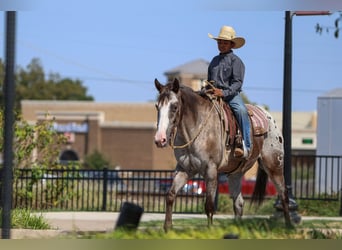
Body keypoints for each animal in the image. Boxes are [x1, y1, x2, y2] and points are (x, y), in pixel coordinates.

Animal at [155, 78, 292, 232]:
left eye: (174, 106)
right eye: (157, 106)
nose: (160, 139)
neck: (197, 127)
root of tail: (270, 119)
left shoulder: (211, 170)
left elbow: (209, 205)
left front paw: (210, 230)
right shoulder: (184, 169)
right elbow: (170, 195)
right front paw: (167, 228)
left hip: (274, 166)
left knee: (284, 195)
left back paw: (289, 226)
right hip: (235, 174)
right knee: (239, 203)